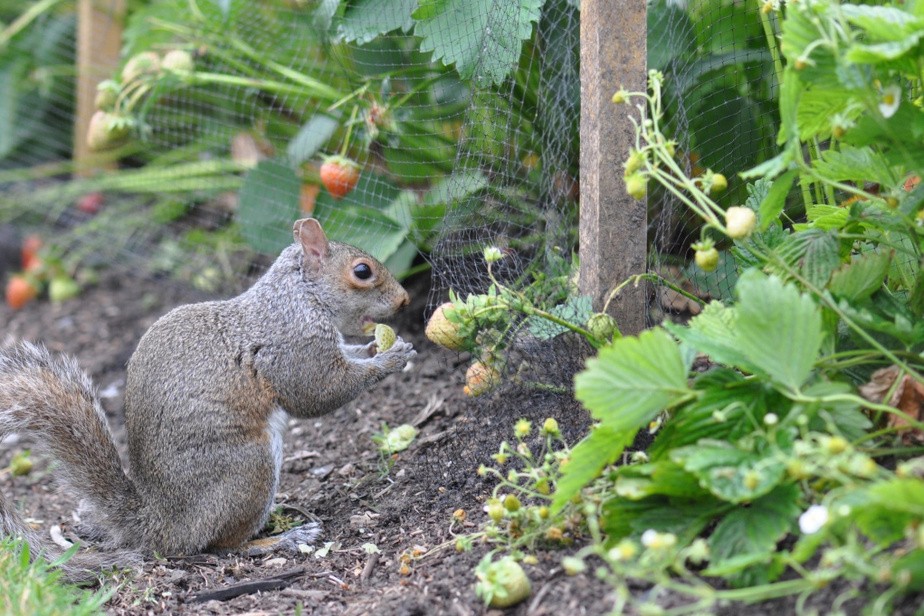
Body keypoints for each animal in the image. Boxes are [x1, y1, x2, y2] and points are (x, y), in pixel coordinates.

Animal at [0, 219, 416, 580]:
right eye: (362, 271)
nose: (405, 300)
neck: (299, 297)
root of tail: (159, 524)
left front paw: (379, 347)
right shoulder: (293, 347)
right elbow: (318, 393)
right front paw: (388, 359)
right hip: (248, 469)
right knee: (220, 545)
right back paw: (278, 539)